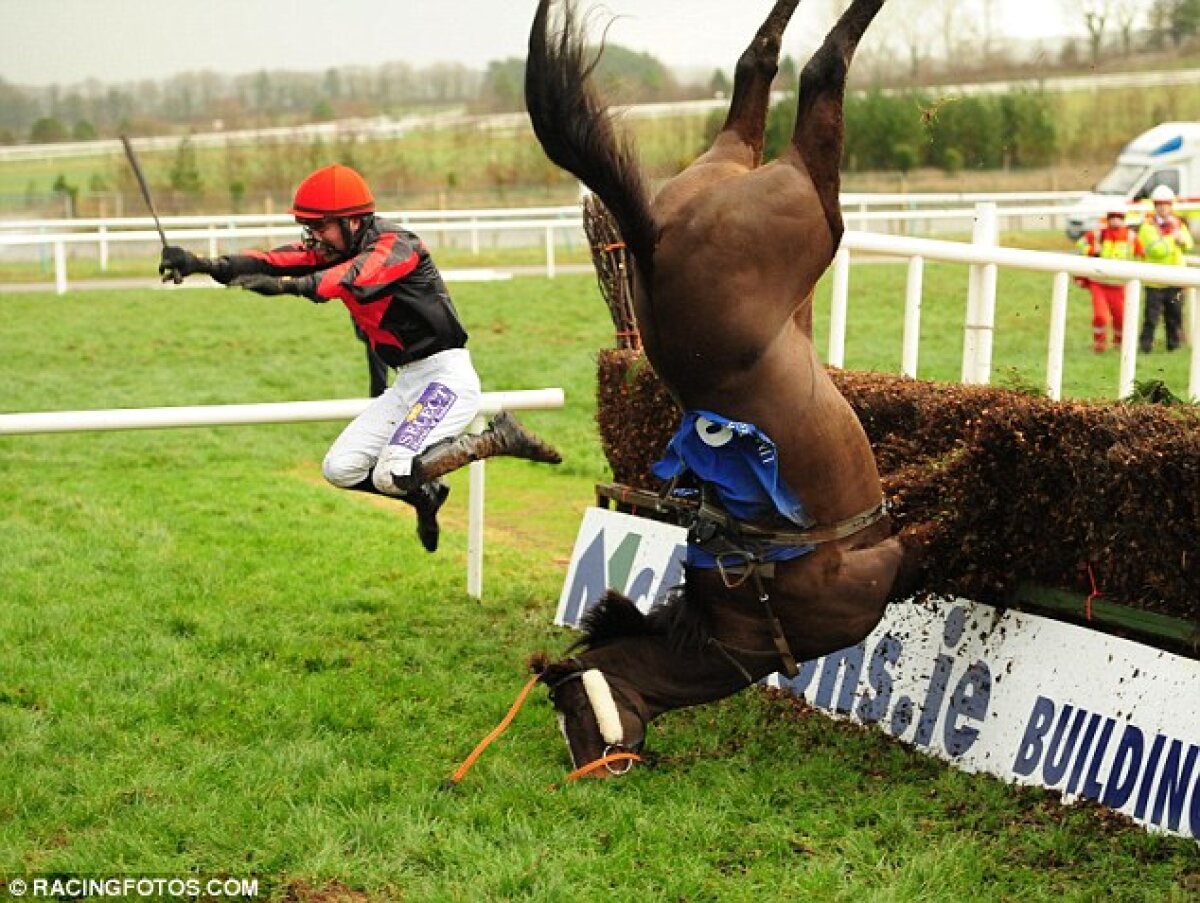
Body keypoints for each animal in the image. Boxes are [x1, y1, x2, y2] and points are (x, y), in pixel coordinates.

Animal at [523, 0, 916, 778]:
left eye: (572, 709)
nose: (589, 767)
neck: (743, 613)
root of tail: (647, 238)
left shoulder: (884, 566)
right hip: (755, 178)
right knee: (761, 64)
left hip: (813, 212)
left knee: (819, 68)